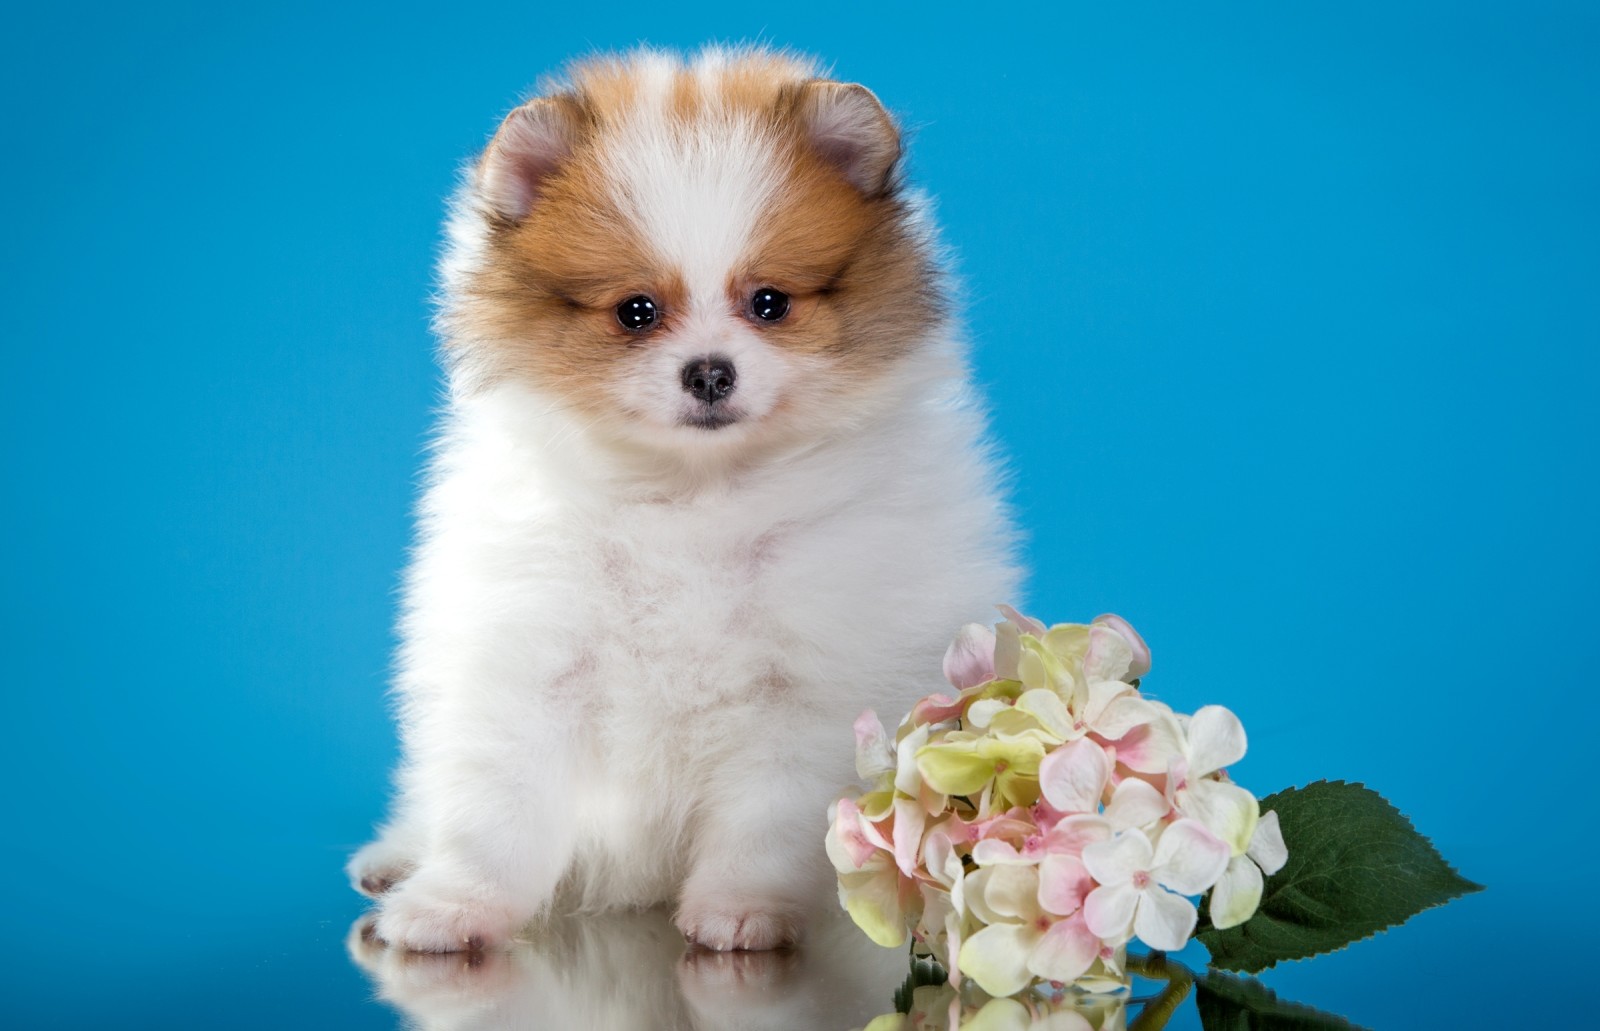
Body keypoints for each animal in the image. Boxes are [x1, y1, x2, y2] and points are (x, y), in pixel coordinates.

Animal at [356, 46, 1017, 947]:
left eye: (769, 302)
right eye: (636, 311)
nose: (709, 371)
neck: (693, 495)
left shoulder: (805, 681)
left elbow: (767, 814)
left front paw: (741, 907)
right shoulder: (532, 653)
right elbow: (498, 806)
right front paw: (456, 904)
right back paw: (395, 856)